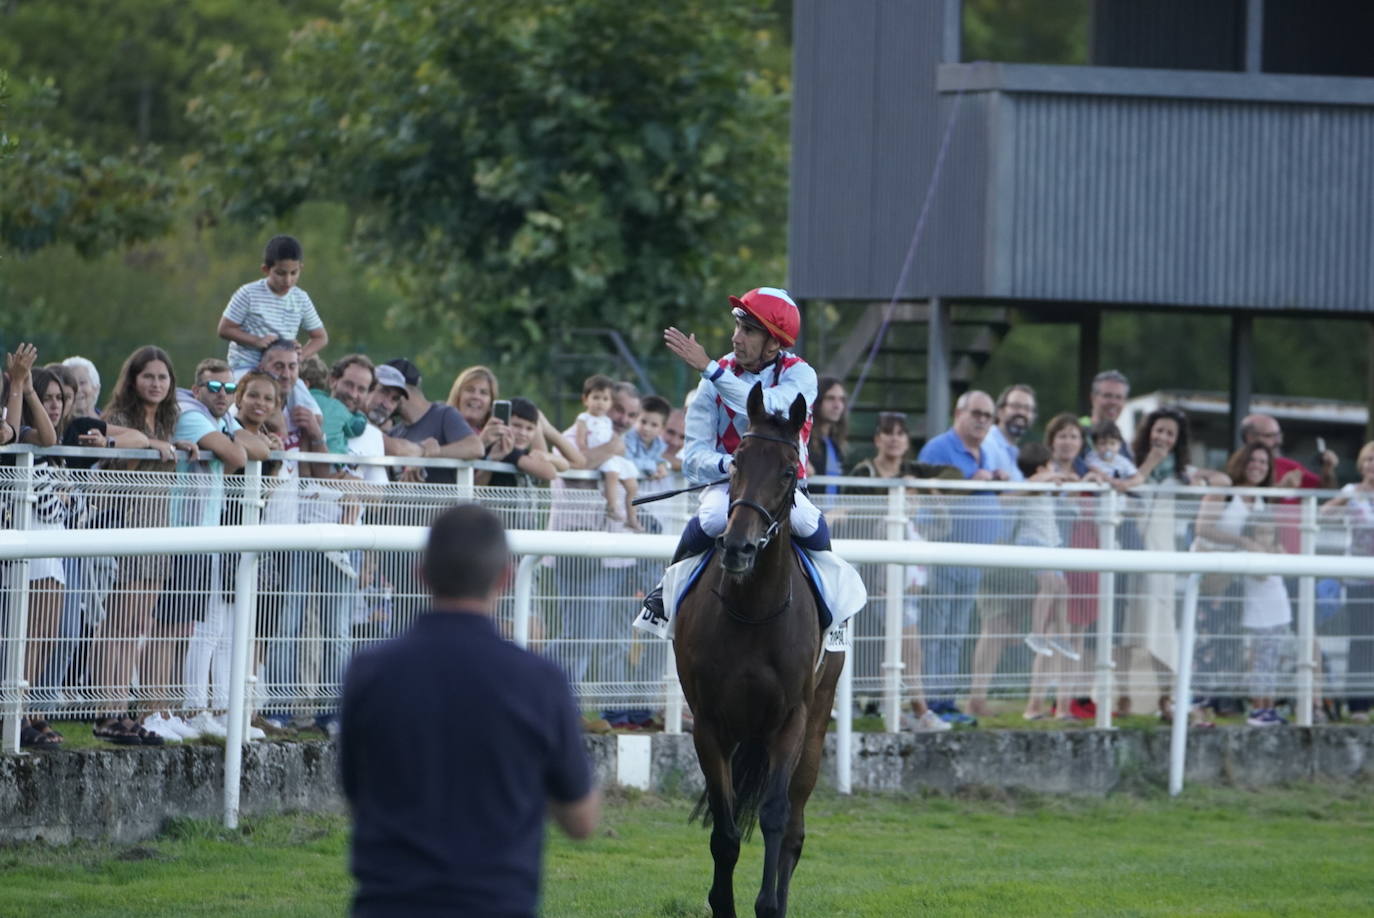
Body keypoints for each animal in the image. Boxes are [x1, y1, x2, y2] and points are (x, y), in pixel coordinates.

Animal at [670, 382, 840, 918]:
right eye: (736, 462)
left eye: (789, 471)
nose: (738, 547)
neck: (753, 611)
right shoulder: (709, 723)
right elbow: (725, 832)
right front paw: (722, 902)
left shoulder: (791, 718)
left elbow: (775, 816)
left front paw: (768, 904)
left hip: (818, 717)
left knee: (796, 825)